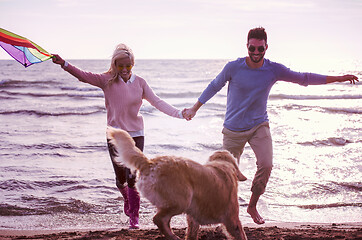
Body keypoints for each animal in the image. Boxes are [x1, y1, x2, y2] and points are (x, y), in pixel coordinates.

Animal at [107, 126, 249, 239]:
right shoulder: (232, 218)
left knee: (163, 220)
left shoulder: (193, 220)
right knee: (158, 219)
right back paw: (173, 237)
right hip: (182, 200)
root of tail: (149, 163)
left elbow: (191, 233)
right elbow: (241, 234)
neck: (222, 164)